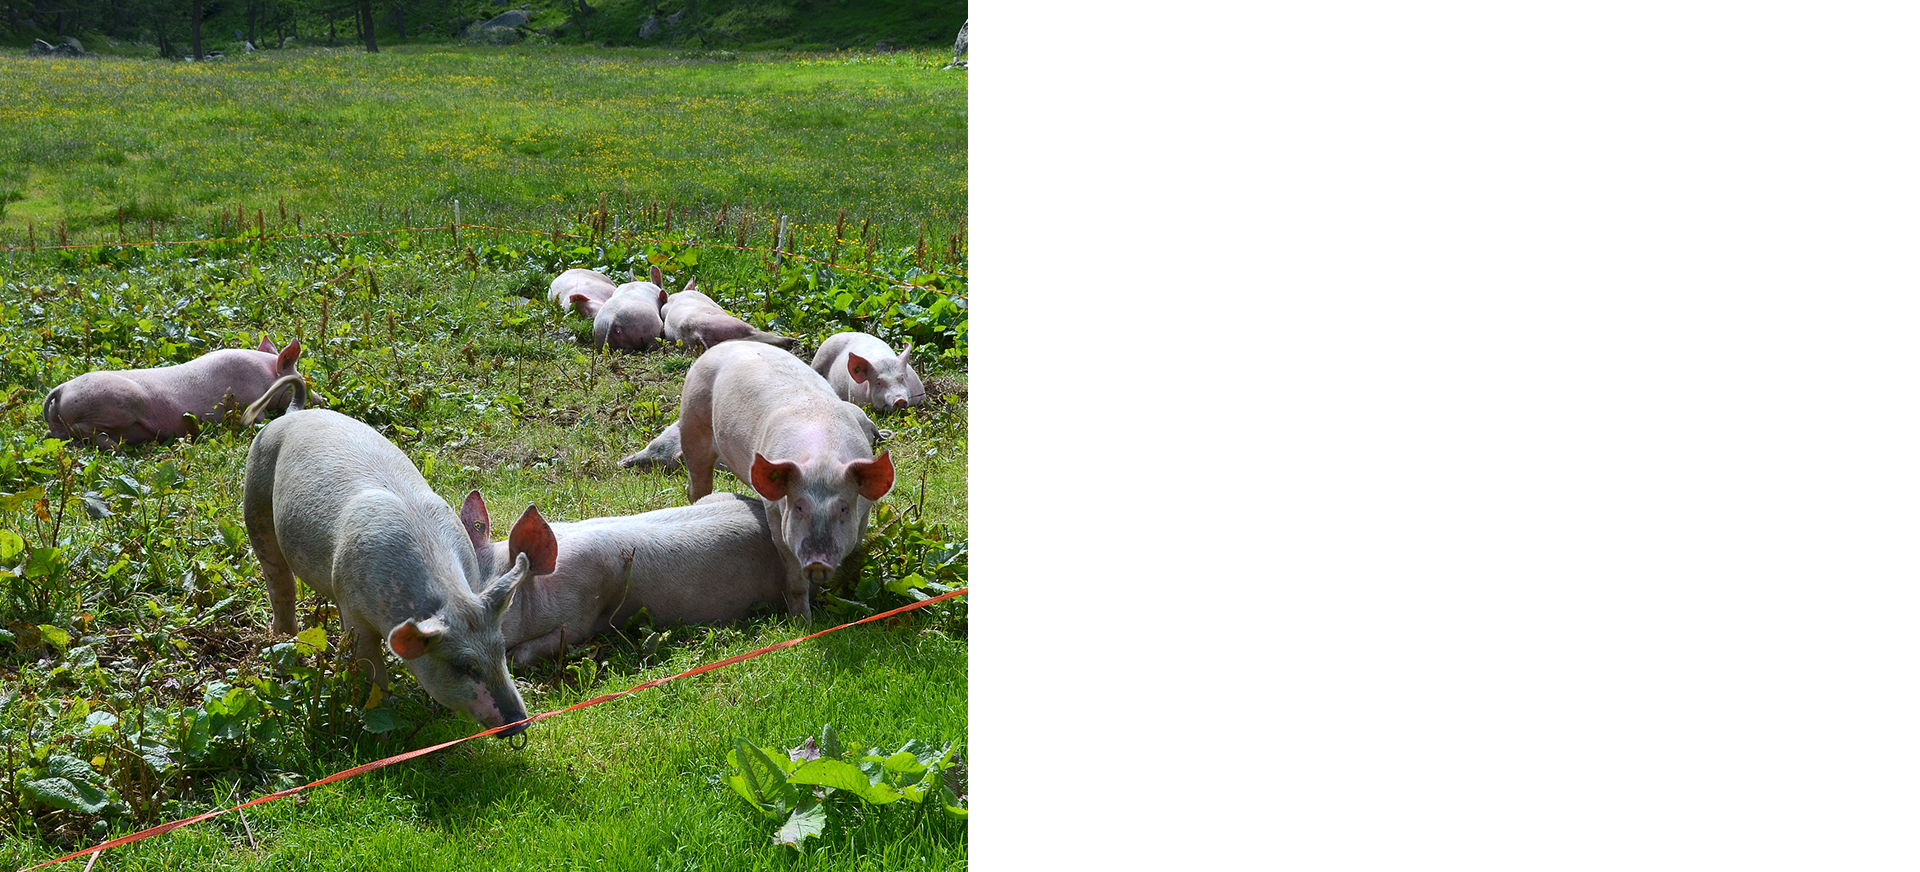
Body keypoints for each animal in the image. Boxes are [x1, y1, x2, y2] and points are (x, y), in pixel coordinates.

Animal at [44, 335, 304, 448]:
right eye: (301, 378)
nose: (314, 398)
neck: (264, 376)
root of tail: (62, 388)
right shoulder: (249, 401)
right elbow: (256, 418)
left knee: (54, 434)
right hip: (118, 404)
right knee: (83, 429)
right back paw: (118, 448)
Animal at [243, 407, 558, 738]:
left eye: (500, 650)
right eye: (462, 667)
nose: (519, 723)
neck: (448, 595)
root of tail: (294, 413)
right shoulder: (355, 611)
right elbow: (371, 670)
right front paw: (382, 723)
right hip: (255, 499)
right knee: (279, 582)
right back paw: (290, 653)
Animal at [680, 341, 894, 621]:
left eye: (843, 509)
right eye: (799, 507)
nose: (817, 561)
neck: (822, 459)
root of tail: (724, 345)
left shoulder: (865, 510)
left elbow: (855, 553)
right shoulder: (775, 512)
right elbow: (793, 577)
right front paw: (803, 623)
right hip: (691, 422)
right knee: (697, 482)